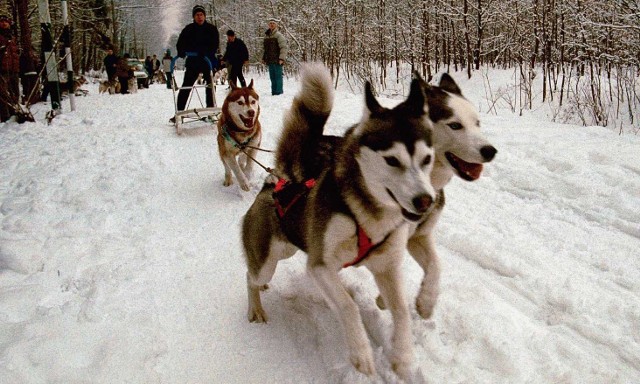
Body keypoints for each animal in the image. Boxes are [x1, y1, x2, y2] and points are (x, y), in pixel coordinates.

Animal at [242, 63, 438, 378]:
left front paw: (404, 357)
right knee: (251, 277)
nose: (425, 200)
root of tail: (278, 181)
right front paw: (361, 354)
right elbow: (348, 306)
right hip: (269, 262)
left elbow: (401, 311)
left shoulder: (386, 267)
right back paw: (255, 307)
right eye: (392, 160)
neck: (365, 214)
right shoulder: (320, 266)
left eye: (427, 159)